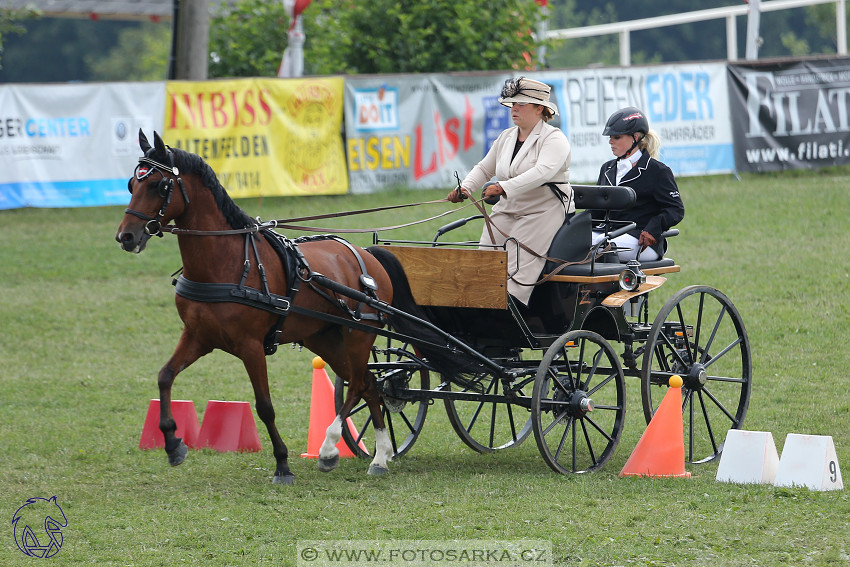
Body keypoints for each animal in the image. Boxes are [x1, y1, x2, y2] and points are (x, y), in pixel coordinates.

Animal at [114, 132, 444, 484]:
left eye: (159, 186)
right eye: (131, 184)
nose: (126, 237)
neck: (227, 262)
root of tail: (367, 253)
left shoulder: (250, 346)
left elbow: (264, 406)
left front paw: (283, 465)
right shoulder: (198, 337)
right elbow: (165, 376)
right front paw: (172, 443)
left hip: (358, 334)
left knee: (358, 384)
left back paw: (329, 448)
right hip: (325, 338)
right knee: (370, 383)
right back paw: (380, 456)